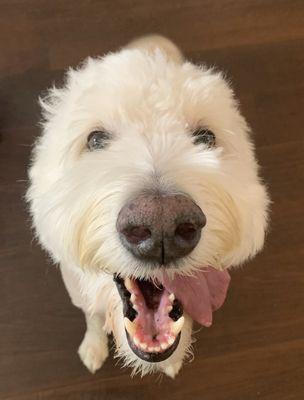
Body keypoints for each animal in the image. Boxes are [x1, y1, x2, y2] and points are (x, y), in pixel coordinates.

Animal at [26, 35, 268, 378]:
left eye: (205, 137)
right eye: (96, 139)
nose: (162, 225)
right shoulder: (80, 293)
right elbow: (92, 318)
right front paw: (93, 347)